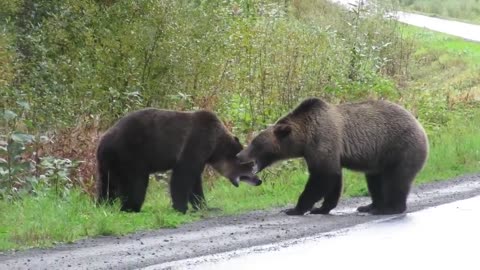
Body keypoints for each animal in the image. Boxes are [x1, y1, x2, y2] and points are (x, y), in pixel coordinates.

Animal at [96, 108, 260, 213]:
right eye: (251, 166)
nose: (259, 181)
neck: (215, 147)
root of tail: (103, 142)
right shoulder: (196, 143)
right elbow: (182, 176)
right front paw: (181, 208)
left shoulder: (201, 156)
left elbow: (195, 182)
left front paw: (205, 206)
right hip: (131, 154)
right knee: (136, 183)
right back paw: (131, 207)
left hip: (108, 163)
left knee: (107, 185)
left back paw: (103, 205)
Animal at [236, 98, 428, 216]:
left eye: (255, 143)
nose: (238, 154)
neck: (304, 138)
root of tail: (420, 126)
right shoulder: (320, 152)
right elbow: (333, 177)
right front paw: (322, 208)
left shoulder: (323, 140)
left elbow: (323, 176)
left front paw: (295, 209)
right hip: (378, 159)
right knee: (374, 180)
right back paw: (369, 206)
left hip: (400, 148)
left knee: (396, 180)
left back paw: (390, 208)